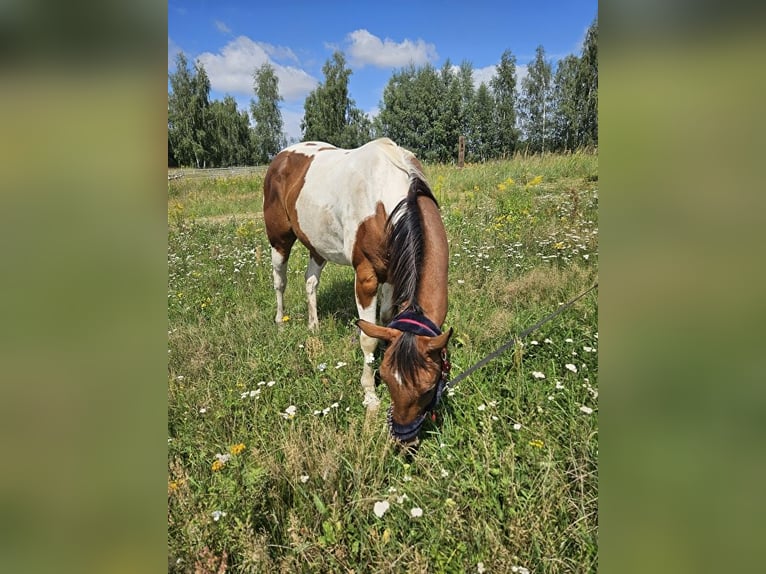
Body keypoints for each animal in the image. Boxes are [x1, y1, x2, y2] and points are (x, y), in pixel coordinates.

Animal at [266, 137, 452, 448]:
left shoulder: (392, 275)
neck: (386, 202)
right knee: (280, 280)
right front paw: (370, 395)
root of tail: (282, 156)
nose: (404, 442)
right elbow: (368, 337)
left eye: (428, 387)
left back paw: (314, 327)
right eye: (387, 381)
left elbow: (386, 320)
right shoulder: (366, 277)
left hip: (317, 245)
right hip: (279, 239)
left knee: (310, 282)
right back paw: (280, 323)